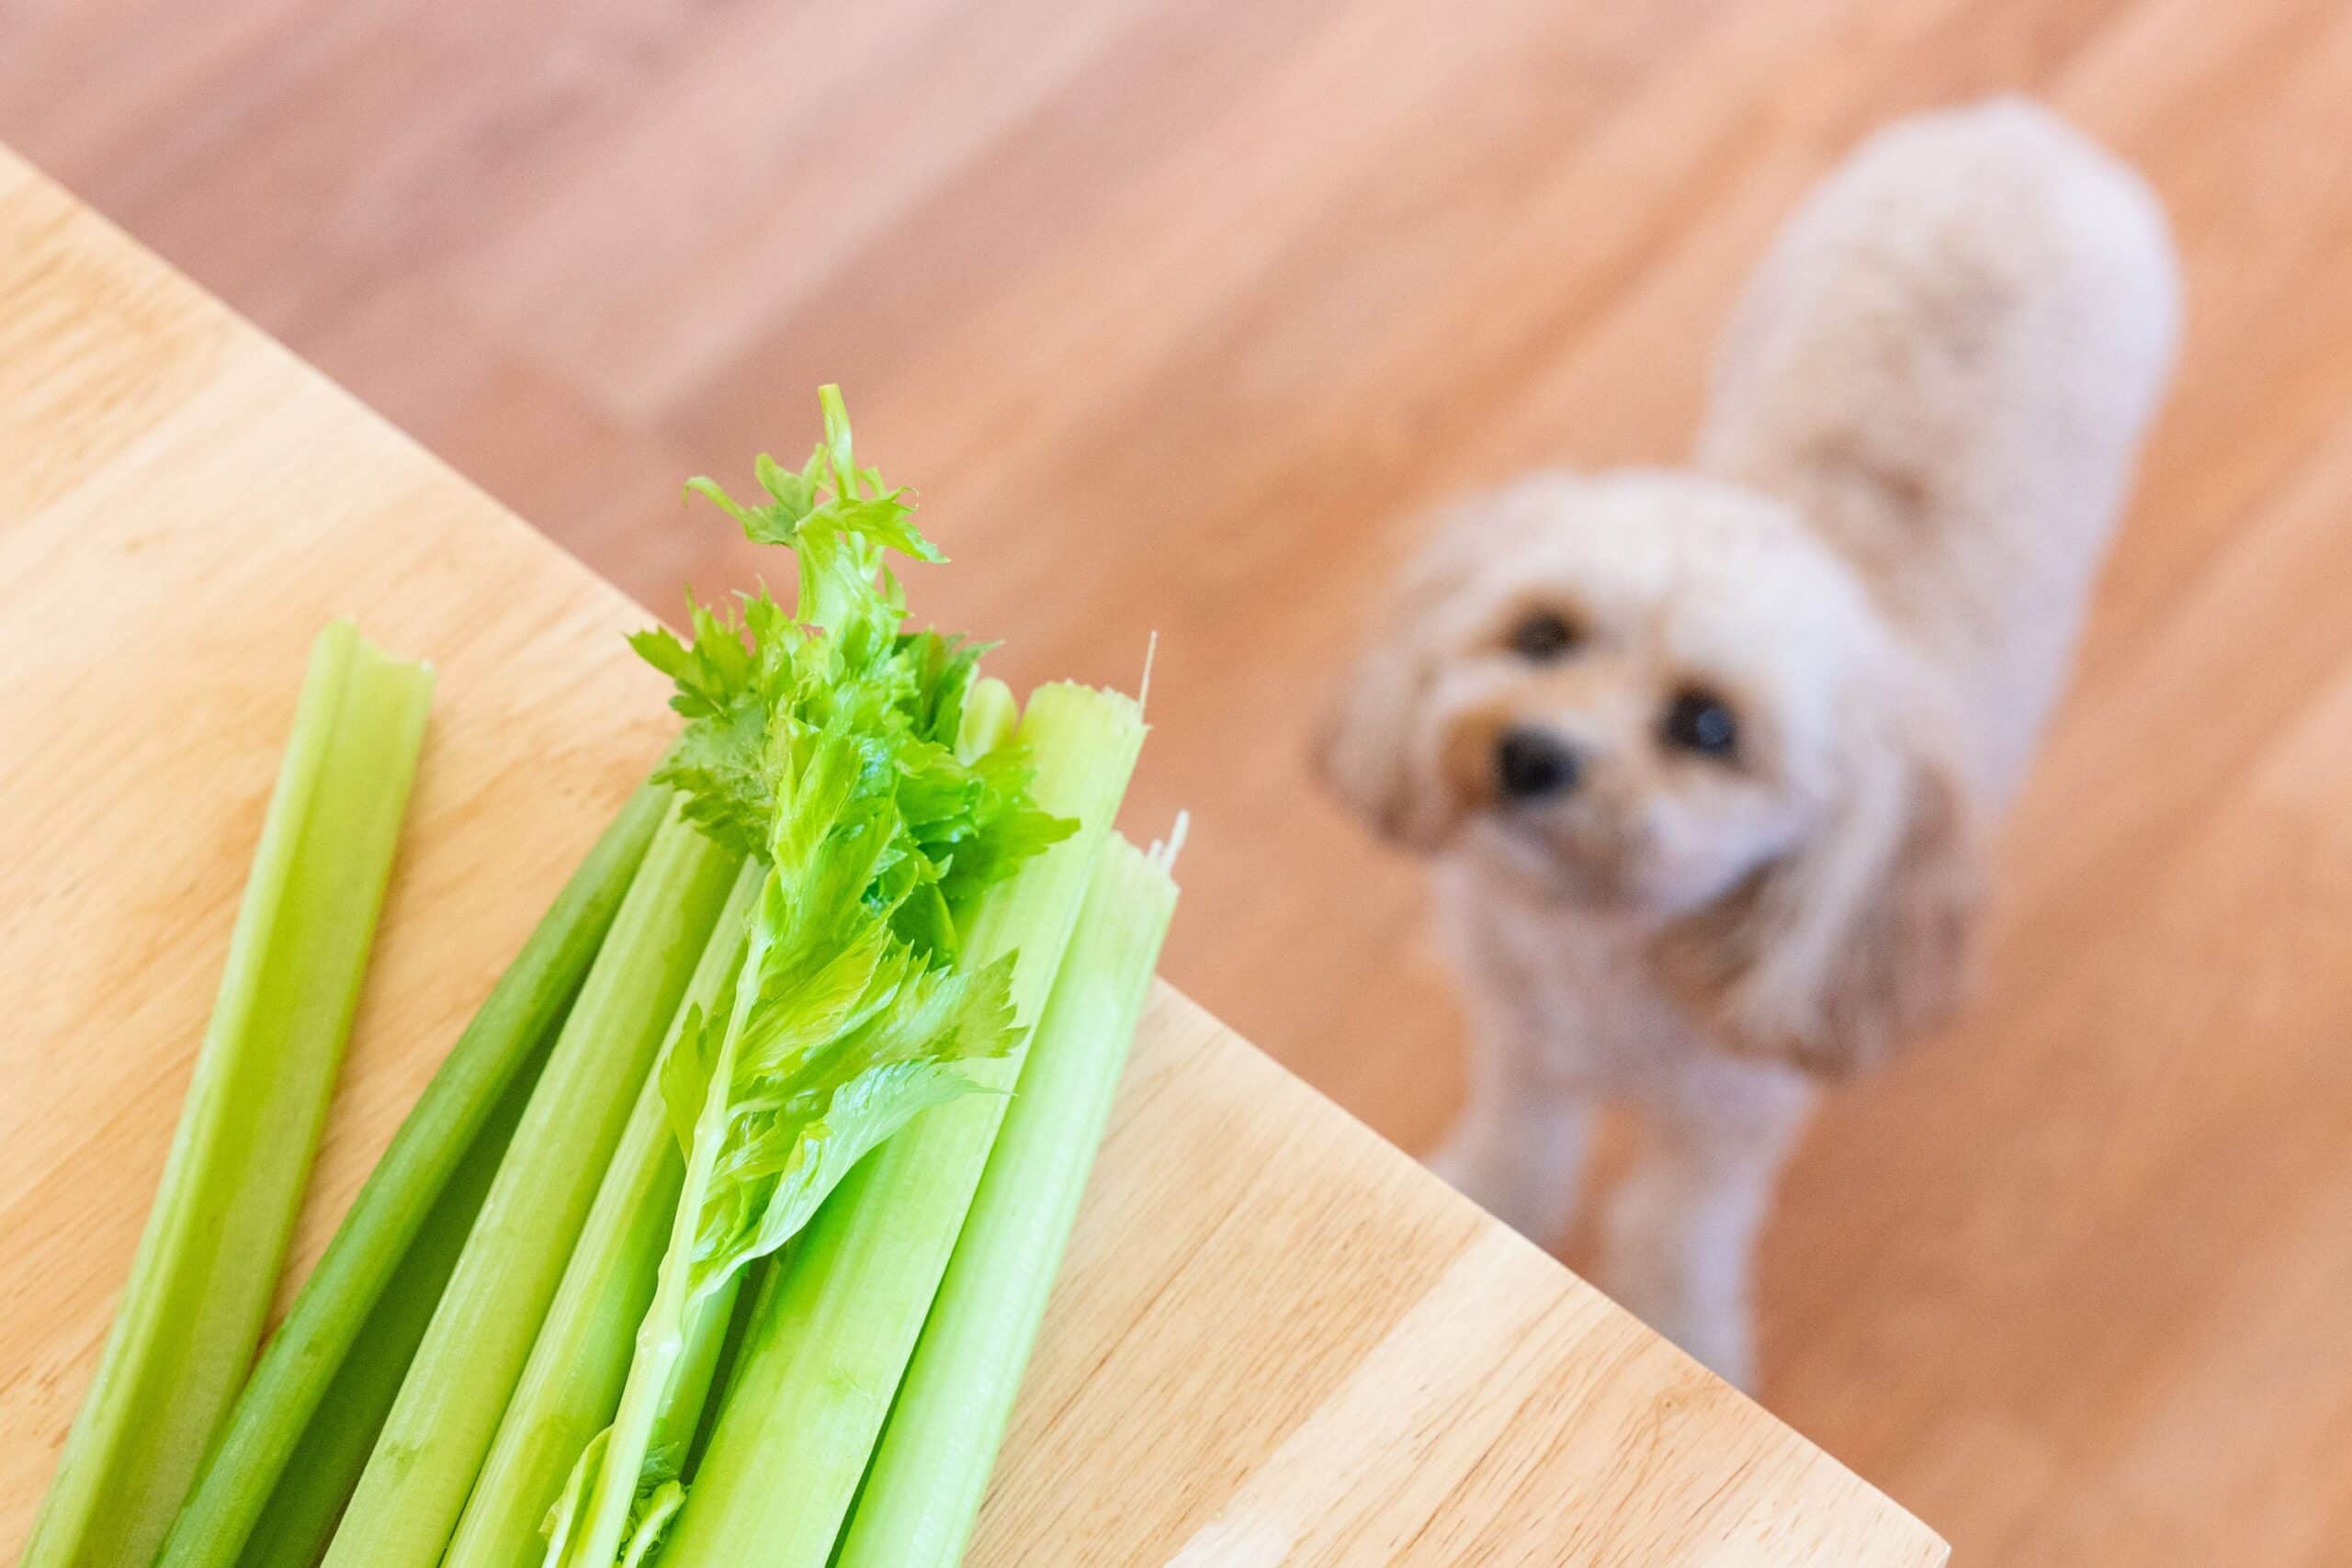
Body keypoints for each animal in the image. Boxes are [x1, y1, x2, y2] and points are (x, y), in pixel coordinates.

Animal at [1326, 101, 2182, 1382]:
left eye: (1707, 726)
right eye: (1544, 633)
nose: (1531, 755)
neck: (1598, 948)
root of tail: (2018, 129)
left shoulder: (1724, 1129)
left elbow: (1670, 1238)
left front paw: (1682, 1337)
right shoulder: (1521, 1045)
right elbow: (1516, 1156)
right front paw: (1485, 1200)